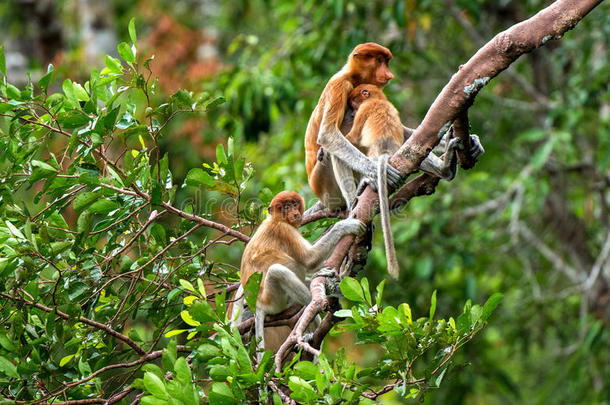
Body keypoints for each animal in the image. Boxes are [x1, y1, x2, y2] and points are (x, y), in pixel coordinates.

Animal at [235, 189, 364, 356]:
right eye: (286, 207)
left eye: (294, 204)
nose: (295, 213)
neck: (276, 219)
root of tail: (257, 305)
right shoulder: (285, 230)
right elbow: (310, 260)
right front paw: (346, 225)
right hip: (273, 301)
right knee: (278, 271)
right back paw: (315, 305)